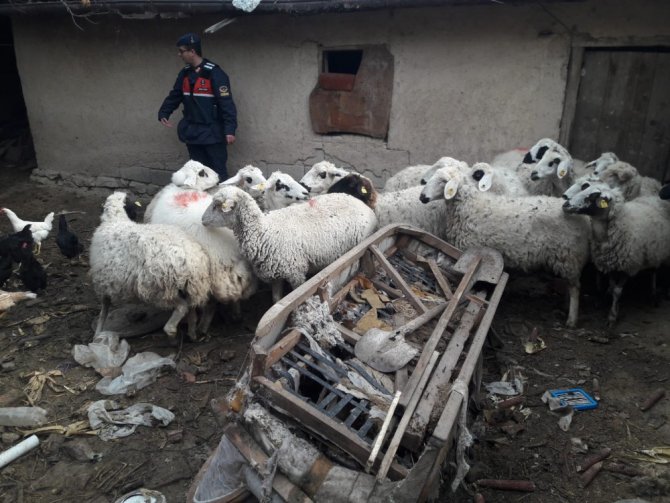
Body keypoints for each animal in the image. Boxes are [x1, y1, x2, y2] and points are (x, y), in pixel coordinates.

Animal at [89, 191, 210, 340]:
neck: (115, 220)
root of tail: (194, 262)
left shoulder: (104, 282)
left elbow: (104, 310)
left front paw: (97, 333)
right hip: (187, 288)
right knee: (191, 309)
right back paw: (192, 334)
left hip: (159, 288)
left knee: (182, 307)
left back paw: (171, 330)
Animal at [201, 186, 378, 302]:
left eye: (216, 206)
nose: (202, 220)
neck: (263, 231)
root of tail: (365, 206)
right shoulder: (275, 273)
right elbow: (276, 300)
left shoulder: (296, 273)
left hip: (358, 247)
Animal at [422, 165, 592, 328]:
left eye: (443, 181)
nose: (422, 197)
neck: (470, 206)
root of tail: (583, 219)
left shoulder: (470, 250)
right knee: (570, 285)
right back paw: (565, 306)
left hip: (569, 255)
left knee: (575, 288)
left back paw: (571, 319)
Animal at [564, 181, 670, 326]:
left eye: (592, 197)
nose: (565, 205)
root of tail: (654, 198)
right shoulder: (610, 264)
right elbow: (612, 285)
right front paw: (609, 300)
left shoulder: (628, 266)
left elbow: (617, 291)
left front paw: (612, 316)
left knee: (654, 272)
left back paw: (654, 295)